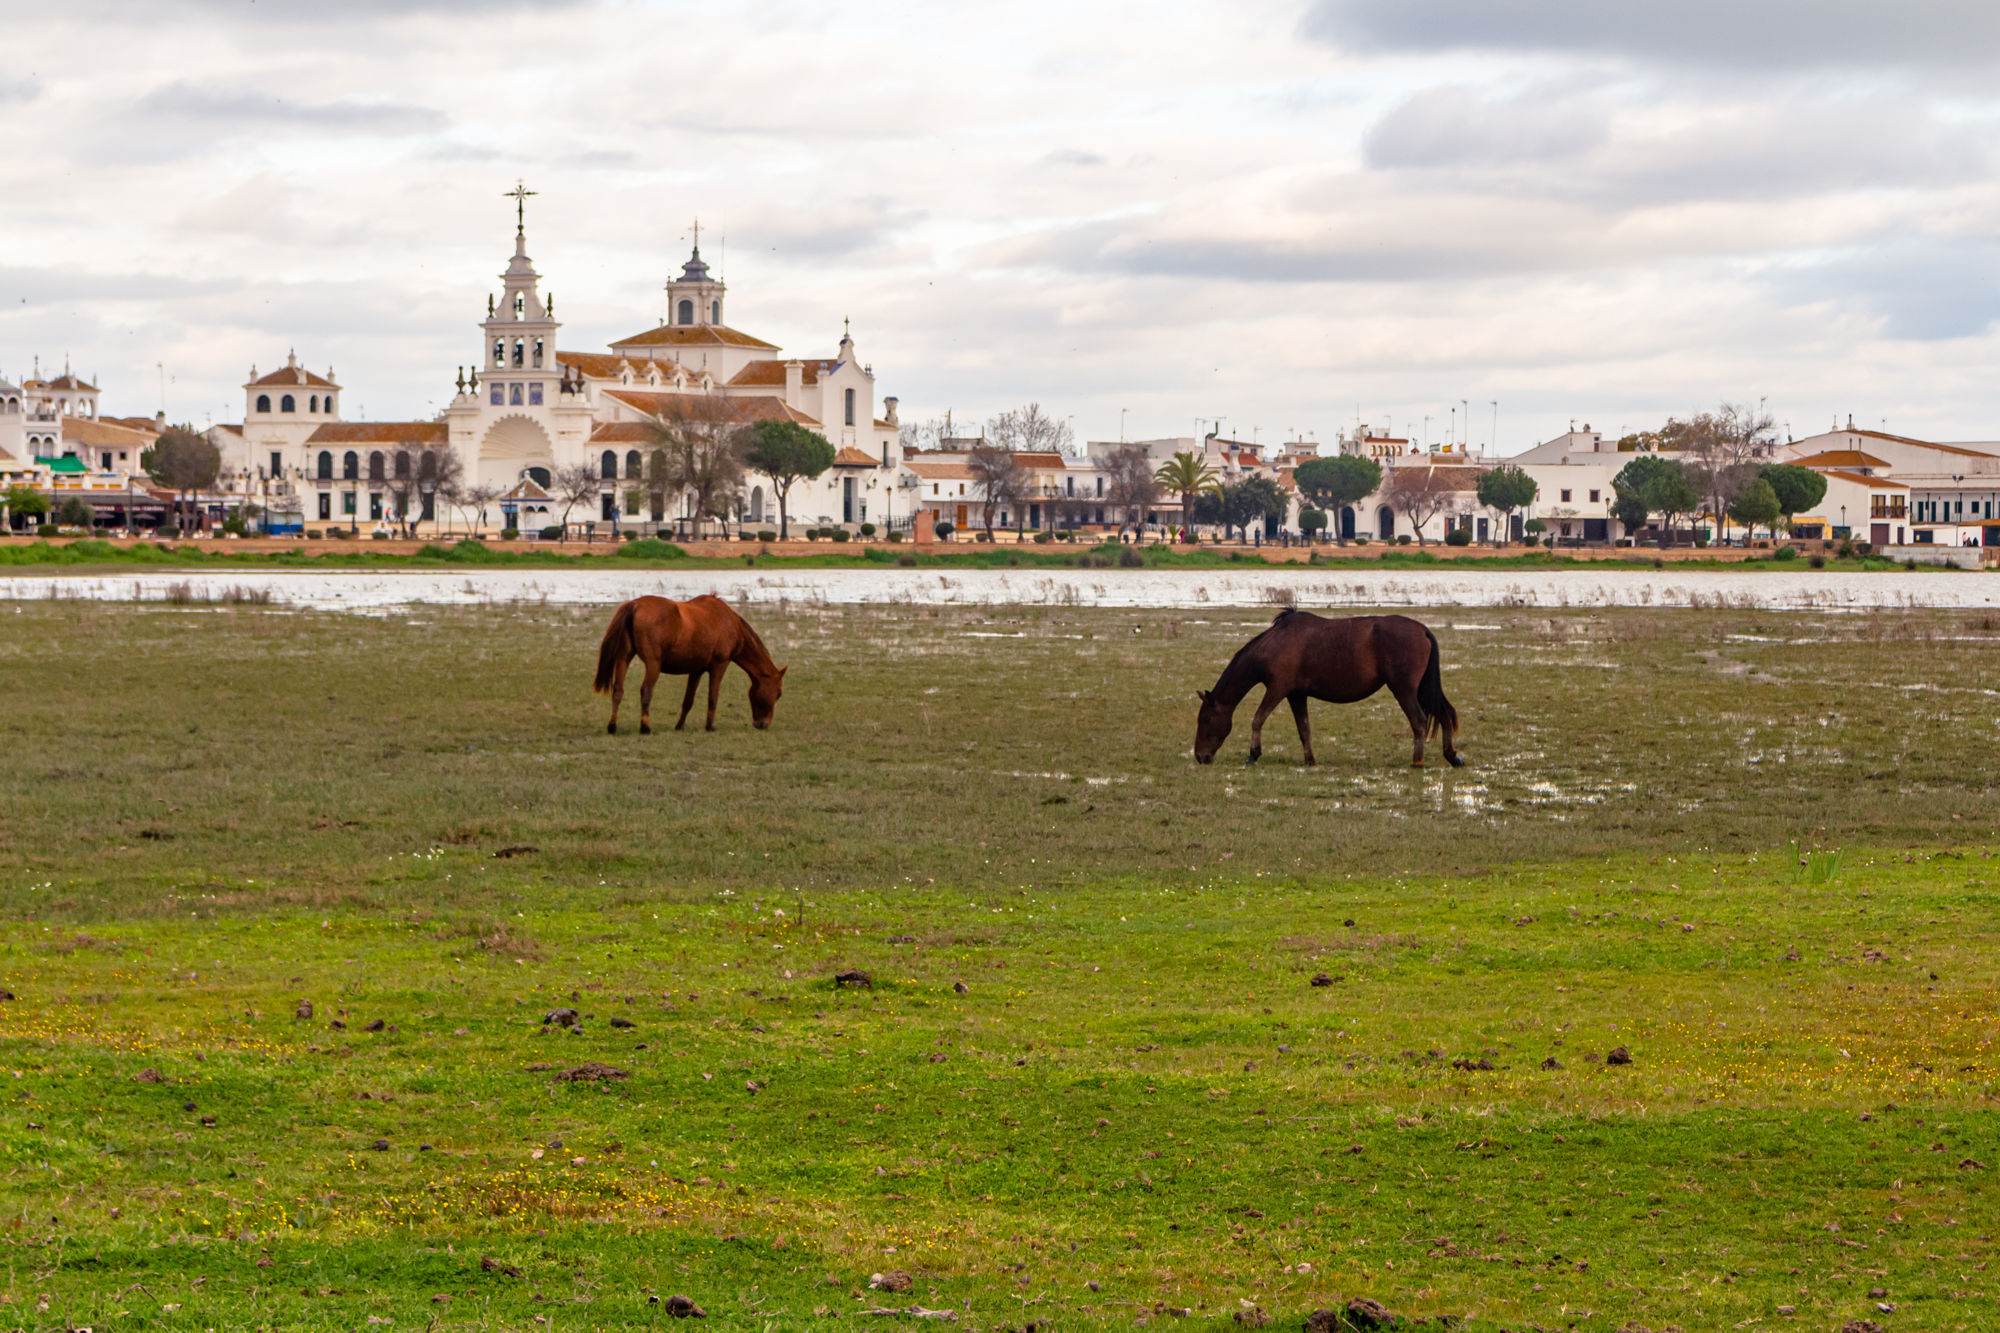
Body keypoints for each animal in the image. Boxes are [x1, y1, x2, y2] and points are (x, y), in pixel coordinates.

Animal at [588, 592, 784, 732]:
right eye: (778, 693)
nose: (763, 724)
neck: (728, 622)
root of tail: (635, 605)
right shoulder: (720, 665)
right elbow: (713, 697)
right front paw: (710, 726)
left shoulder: (696, 670)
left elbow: (688, 700)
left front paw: (679, 726)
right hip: (653, 664)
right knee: (646, 691)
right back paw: (645, 727)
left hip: (624, 658)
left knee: (618, 690)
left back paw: (612, 726)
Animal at [1192, 608, 1464, 764]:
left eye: (1205, 719)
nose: (1200, 756)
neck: (1275, 642)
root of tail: (1423, 630)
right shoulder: (1296, 695)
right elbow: (1304, 729)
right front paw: (1310, 759)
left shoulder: (1278, 689)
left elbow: (1258, 719)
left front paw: (1253, 754)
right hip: (1421, 689)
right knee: (1444, 713)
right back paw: (1451, 755)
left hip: (1404, 689)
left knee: (1418, 720)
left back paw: (1417, 761)